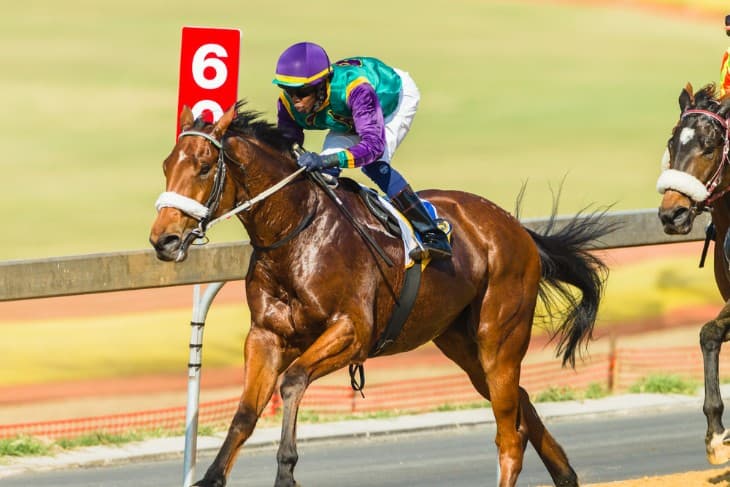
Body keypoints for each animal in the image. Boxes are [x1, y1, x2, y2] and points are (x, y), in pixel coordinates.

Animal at [149, 101, 613, 487]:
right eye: (167, 164)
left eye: (205, 166)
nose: (163, 240)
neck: (296, 233)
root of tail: (515, 228)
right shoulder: (265, 335)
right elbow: (245, 414)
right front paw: (211, 477)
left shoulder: (352, 332)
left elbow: (293, 381)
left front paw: (286, 471)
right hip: (461, 343)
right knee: (522, 406)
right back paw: (566, 474)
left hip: (500, 337)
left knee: (509, 435)